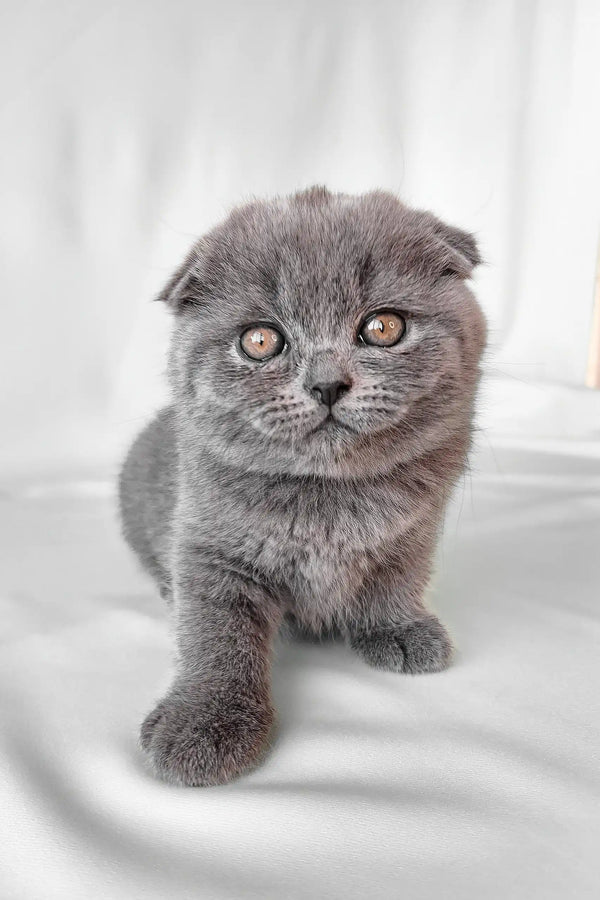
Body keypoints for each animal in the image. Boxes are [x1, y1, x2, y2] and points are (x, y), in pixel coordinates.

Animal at [119, 186, 486, 784]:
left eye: (383, 327)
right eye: (260, 340)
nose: (327, 384)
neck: (327, 495)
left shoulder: (415, 531)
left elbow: (398, 577)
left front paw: (397, 628)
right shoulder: (207, 547)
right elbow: (215, 634)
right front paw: (203, 722)